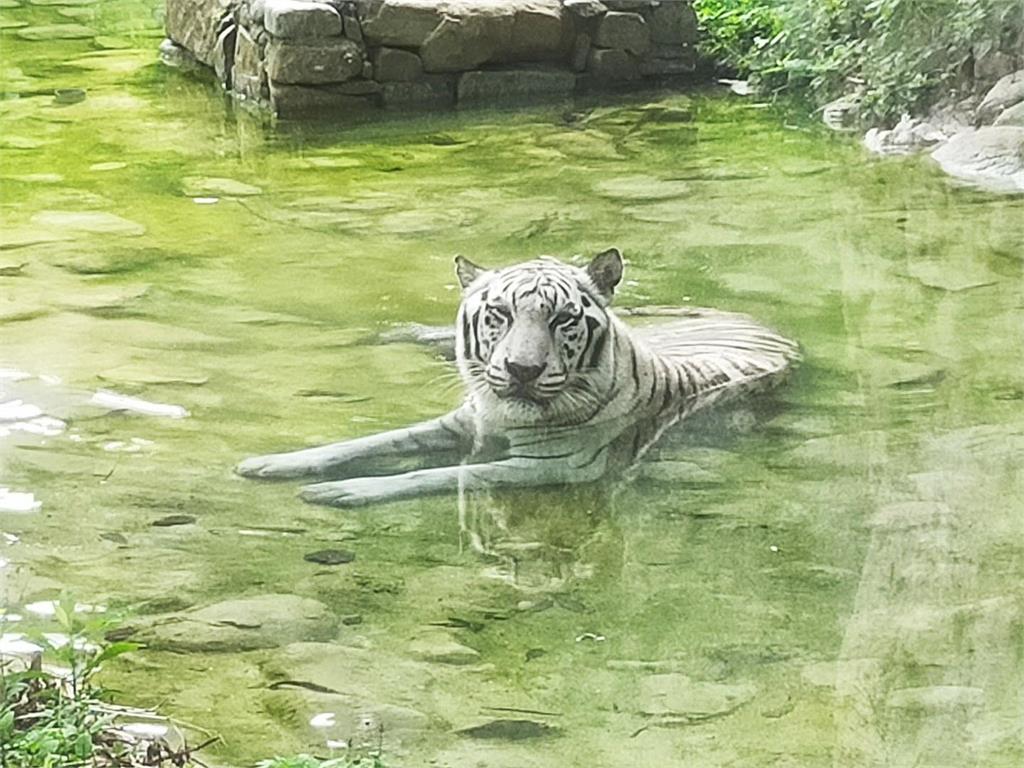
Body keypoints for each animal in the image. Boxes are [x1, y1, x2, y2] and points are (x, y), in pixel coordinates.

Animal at [236, 249, 799, 507]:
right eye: (499, 314)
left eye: (563, 319)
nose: (521, 370)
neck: (503, 414)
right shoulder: (459, 420)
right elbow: (365, 442)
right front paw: (270, 463)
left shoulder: (550, 465)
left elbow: (440, 474)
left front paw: (341, 492)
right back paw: (385, 334)